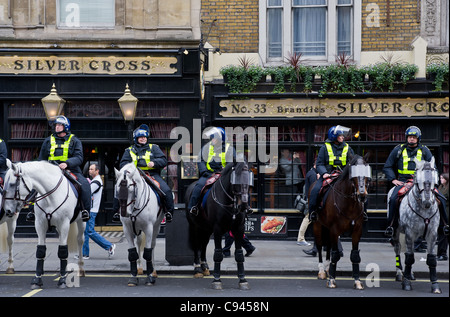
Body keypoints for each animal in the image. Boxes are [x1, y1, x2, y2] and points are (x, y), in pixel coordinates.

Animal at [184, 158, 253, 288]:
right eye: (235, 178)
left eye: (250, 180)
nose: (243, 205)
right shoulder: (218, 228)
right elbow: (218, 254)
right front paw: (217, 280)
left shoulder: (239, 228)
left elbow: (239, 254)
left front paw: (242, 280)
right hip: (194, 226)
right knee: (196, 245)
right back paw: (197, 269)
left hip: (206, 228)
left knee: (204, 244)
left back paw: (204, 267)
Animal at [312, 153, 370, 288]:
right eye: (353, 174)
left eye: (366, 173)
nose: (362, 195)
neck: (350, 204)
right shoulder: (335, 229)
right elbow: (335, 254)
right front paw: (332, 280)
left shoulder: (357, 230)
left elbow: (354, 255)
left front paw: (357, 281)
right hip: (318, 225)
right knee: (320, 245)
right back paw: (322, 271)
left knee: (328, 246)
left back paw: (327, 268)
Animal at [388, 157, 442, 292]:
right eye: (418, 182)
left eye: (435, 182)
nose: (427, 202)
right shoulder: (409, 233)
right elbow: (409, 257)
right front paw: (406, 283)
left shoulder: (432, 234)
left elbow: (431, 259)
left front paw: (435, 285)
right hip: (396, 231)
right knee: (398, 249)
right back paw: (399, 274)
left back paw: (410, 274)